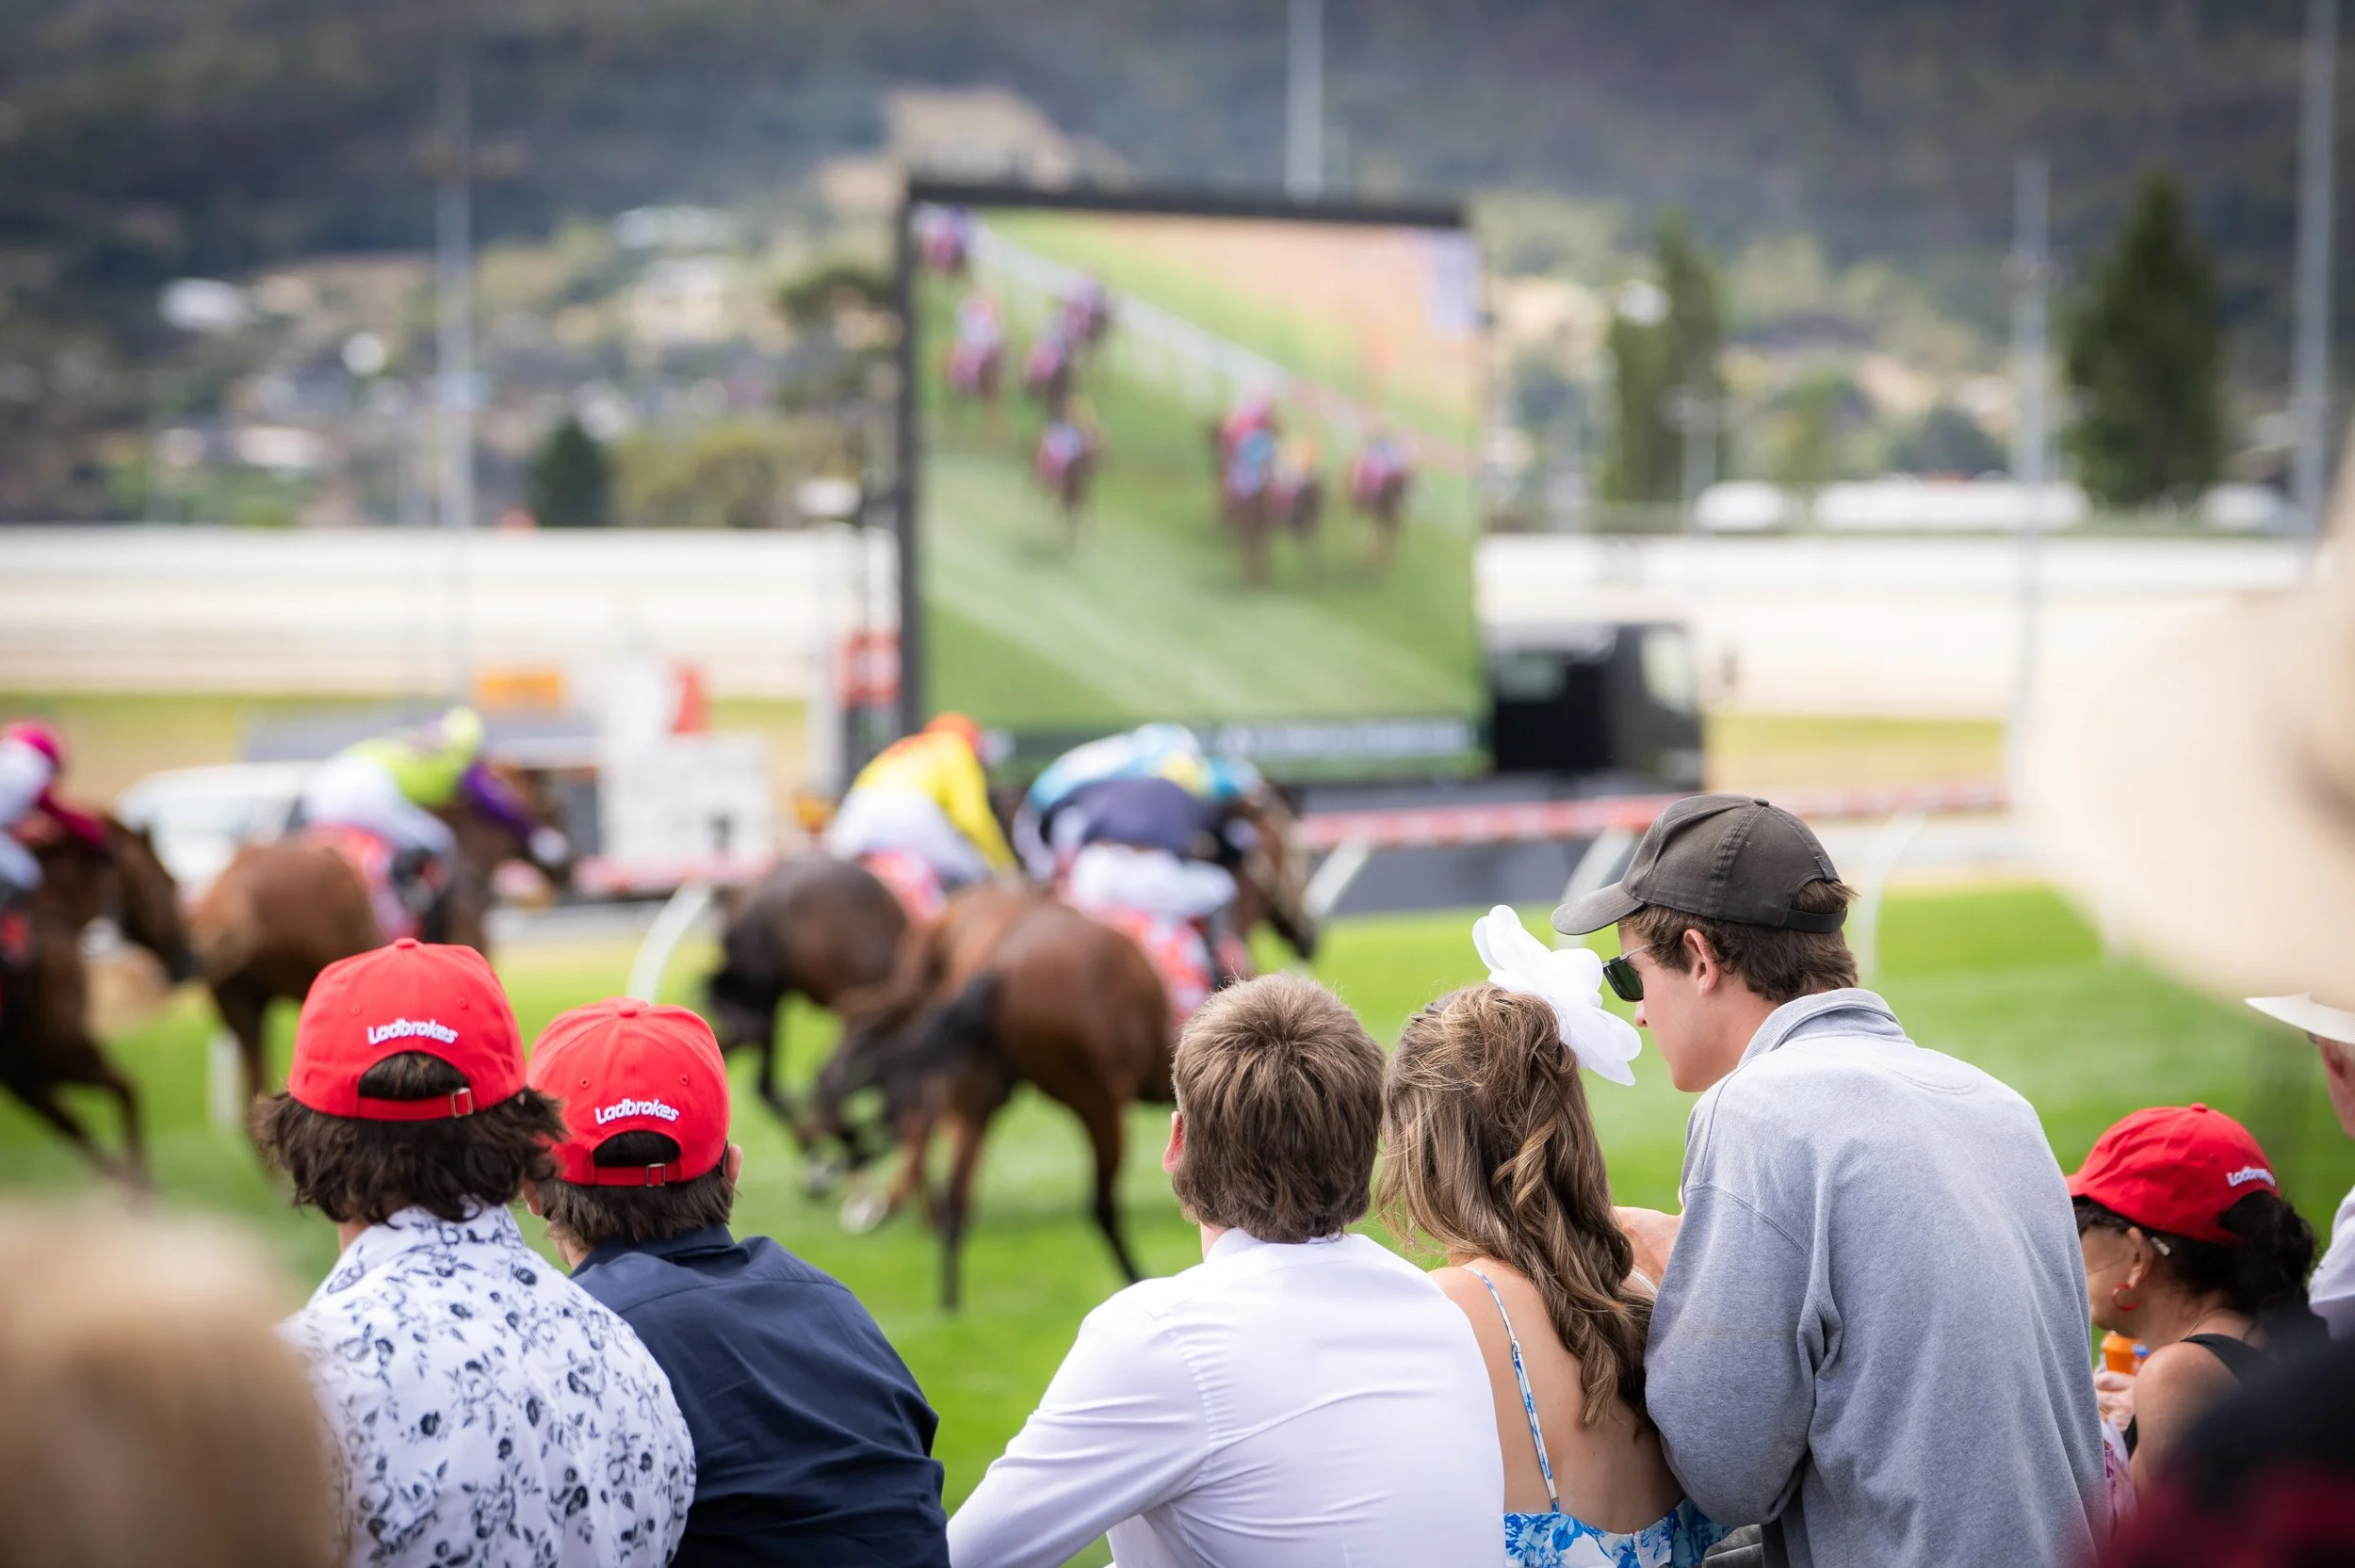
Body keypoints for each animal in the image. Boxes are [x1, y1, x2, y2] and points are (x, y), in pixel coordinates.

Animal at [0, 818, 191, 1184]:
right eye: (169, 881)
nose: (191, 958)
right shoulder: (61, 1051)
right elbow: (127, 1089)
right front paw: (140, 1180)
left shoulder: (23, 1074)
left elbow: (75, 1131)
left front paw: (131, 1180)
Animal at [811, 885, 1172, 1310]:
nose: (825, 1085)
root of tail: (997, 963)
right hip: (1097, 1100)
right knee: (1102, 1205)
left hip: (980, 1099)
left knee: (956, 1197)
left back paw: (950, 1303)